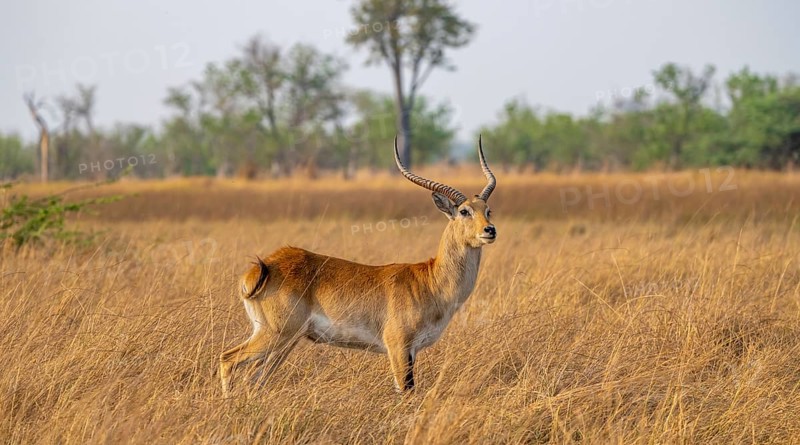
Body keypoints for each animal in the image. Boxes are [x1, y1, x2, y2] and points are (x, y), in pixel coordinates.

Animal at [219, 136, 497, 394]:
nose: (490, 230)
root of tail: (264, 267)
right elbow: (405, 391)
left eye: (488, 210)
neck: (429, 282)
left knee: (254, 378)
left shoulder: (412, 351)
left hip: (285, 341)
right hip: (275, 335)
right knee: (228, 360)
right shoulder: (398, 347)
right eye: (464, 211)